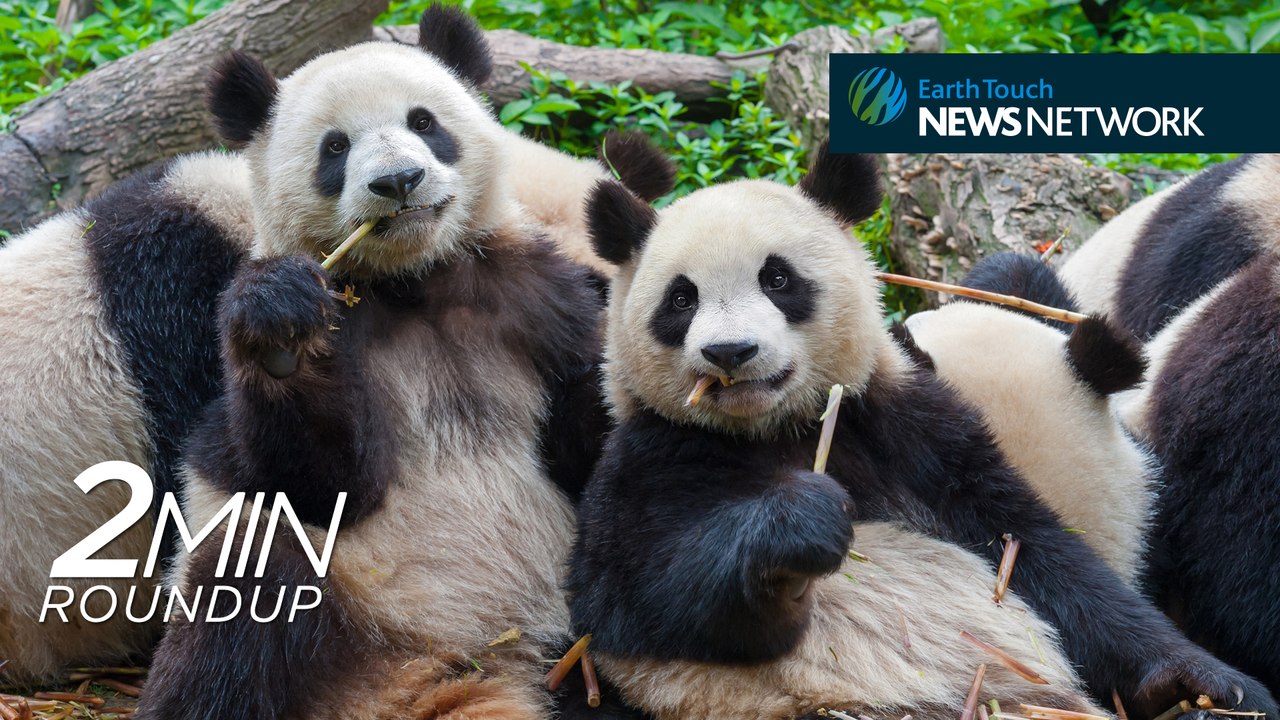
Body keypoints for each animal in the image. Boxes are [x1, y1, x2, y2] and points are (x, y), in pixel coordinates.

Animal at [133, 7, 648, 719]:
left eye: (424, 122)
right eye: (334, 147)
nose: (398, 182)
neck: (413, 282)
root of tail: (433, 679)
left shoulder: (534, 297)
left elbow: (585, 445)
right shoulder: (341, 332)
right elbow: (317, 481)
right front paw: (279, 329)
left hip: (570, 640)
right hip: (335, 603)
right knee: (245, 594)